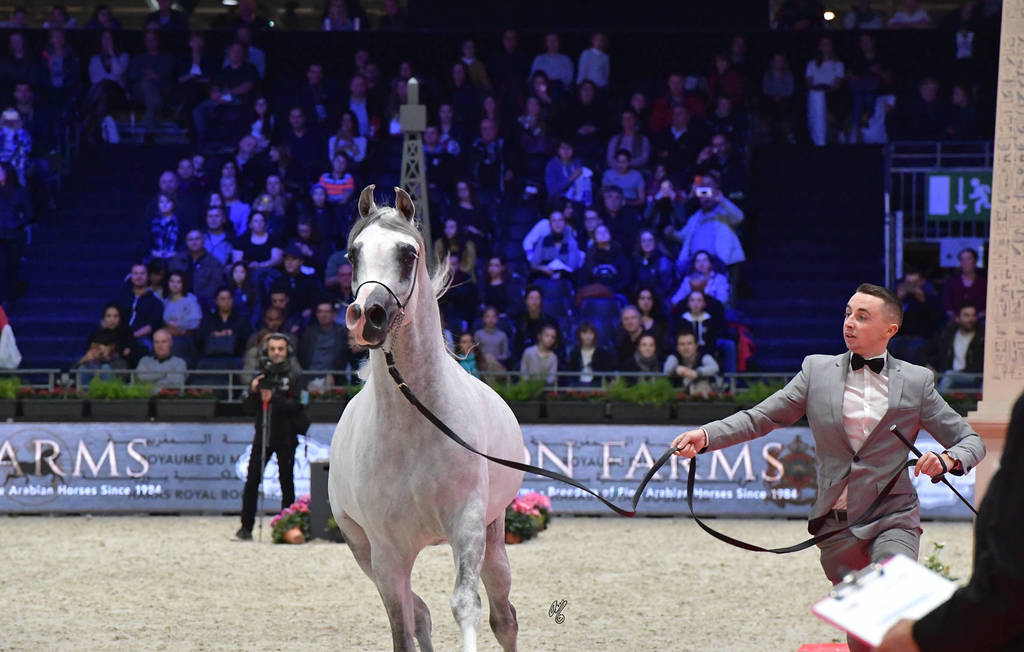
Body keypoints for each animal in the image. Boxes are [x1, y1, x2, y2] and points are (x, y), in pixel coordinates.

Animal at [328, 185, 525, 652]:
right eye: (352, 254)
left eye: (408, 253)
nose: (367, 316)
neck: (412, 426)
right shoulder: (385, 553)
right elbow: (403, 626)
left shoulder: (467, 525)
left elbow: (466, 606)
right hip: (362, 551)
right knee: (418, 612)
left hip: (494, 536)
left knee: (503, 617)